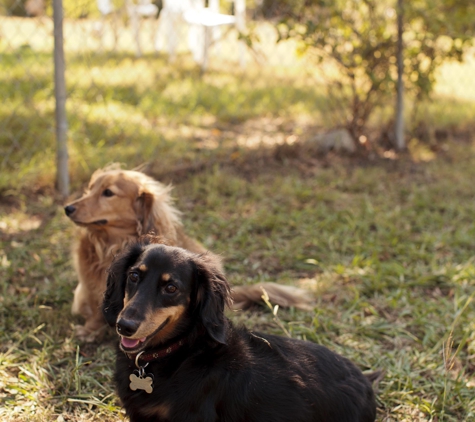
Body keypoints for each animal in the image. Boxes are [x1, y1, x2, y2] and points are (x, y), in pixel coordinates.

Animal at [65, 165, 314, 342]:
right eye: (89, 189)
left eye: (108, 193)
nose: (68, 208)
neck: (113, 242)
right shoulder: (92, 285)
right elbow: (96, 307)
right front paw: (90, 330)